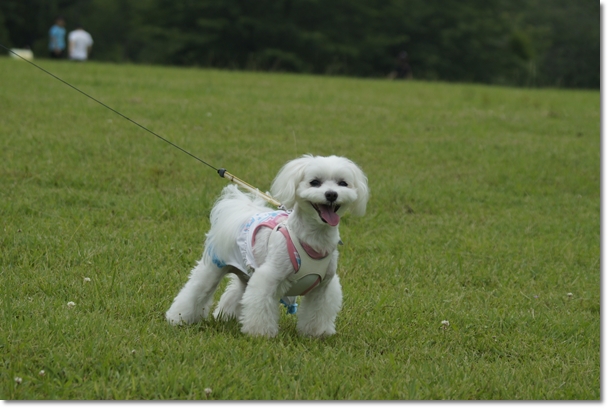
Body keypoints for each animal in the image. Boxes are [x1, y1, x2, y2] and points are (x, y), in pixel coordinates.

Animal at [164, 155, 368, 336]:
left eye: (343, 183)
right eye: (315, 182)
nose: (331, 194)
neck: (313, 241)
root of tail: (243, 214)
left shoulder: (323, 287)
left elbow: (318, 311)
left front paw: (316, 333)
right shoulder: (269, 278)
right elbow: (261, 304)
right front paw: (260, 334)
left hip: (246, 275)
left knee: (235, 294)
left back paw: (226, 316)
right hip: (214, 267)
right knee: (196, 291)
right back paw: (178, 318)